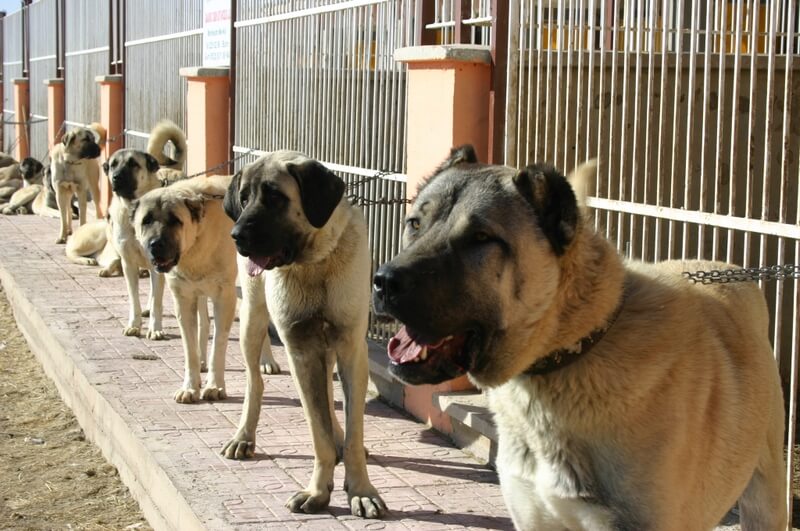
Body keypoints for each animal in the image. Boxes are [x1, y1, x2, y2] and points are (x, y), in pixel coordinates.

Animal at [104, 119, 188, 340]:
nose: (116, 177)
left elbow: (158, 300)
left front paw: (156, 328)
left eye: (133, 164)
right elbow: (134, 299)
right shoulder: (128, 264)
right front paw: (134, 325)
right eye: (113, 165)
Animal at [222, 151, 388, 520]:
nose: (236, 235)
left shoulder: (351, 350)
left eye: (275, 198)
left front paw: (361, 490)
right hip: (252, 321)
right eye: (244, 198)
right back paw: (243, 436)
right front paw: (318, 490)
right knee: (255, 384)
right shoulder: (300, 351)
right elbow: (317, 432)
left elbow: (353, 430)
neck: (316, 264)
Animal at [376, 145, 788, 531]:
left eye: (480, 238)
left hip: (765, 496)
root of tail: (729, 269)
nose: (383, 281)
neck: (575, 350)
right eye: (415, 223)